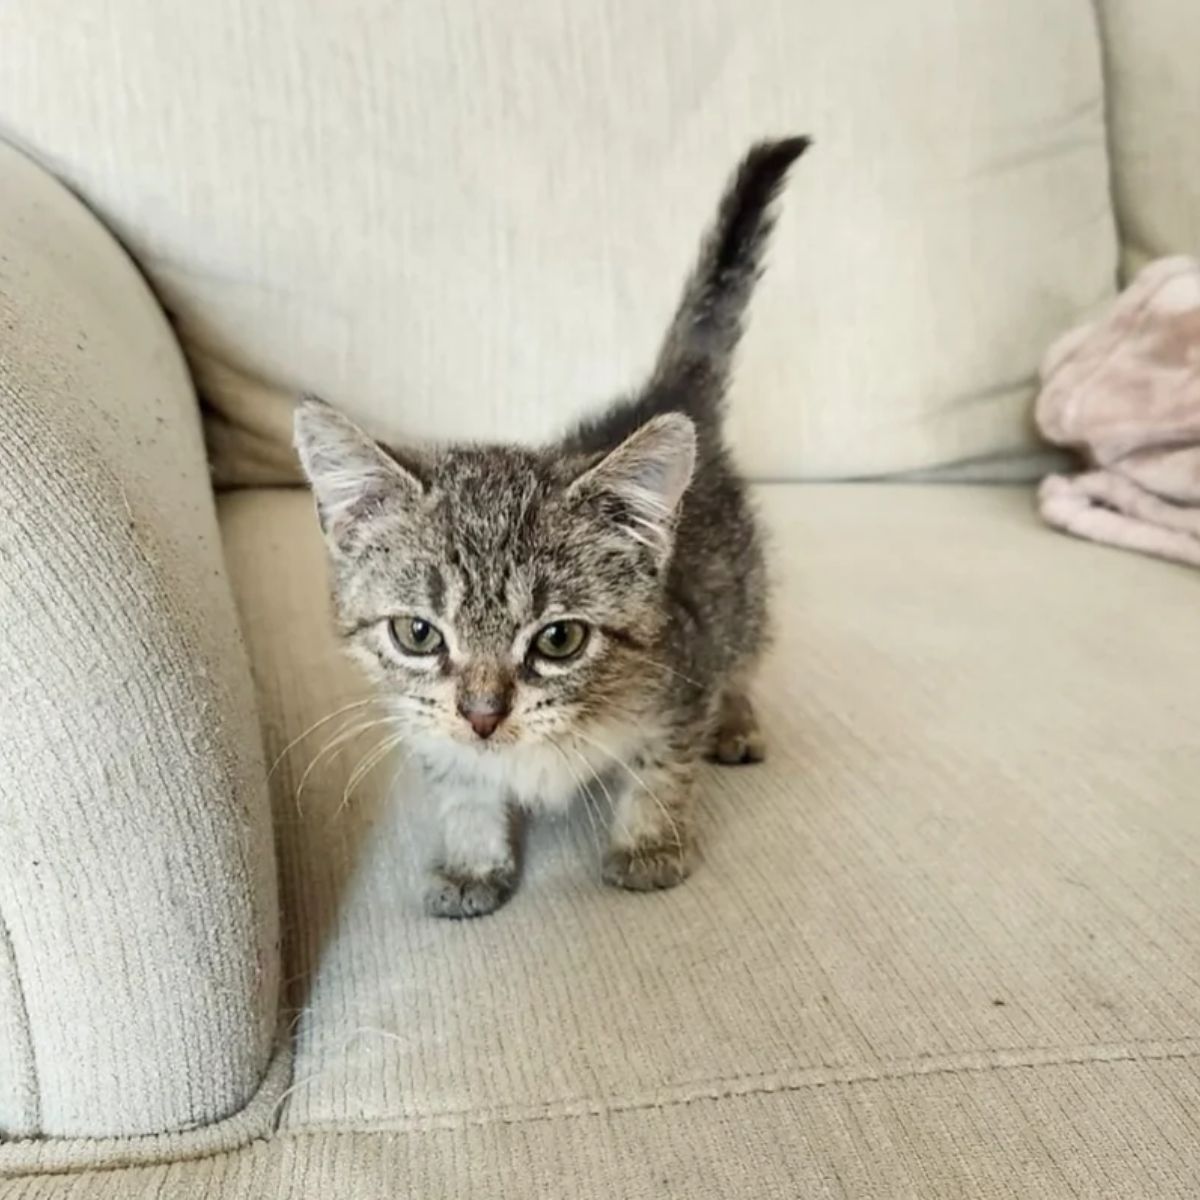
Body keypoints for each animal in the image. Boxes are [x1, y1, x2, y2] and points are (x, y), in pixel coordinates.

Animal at [295, 133, 811, 916]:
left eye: (559, 640)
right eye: (417, 633)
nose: (482, 715)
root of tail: (660, 398)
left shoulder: (682, 677)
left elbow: (663, 769)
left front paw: (649, 846)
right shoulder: (432, 731)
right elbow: (464, 788)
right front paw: (473, 862)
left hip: (740, 598)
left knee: (745, 652)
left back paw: (738, 720)